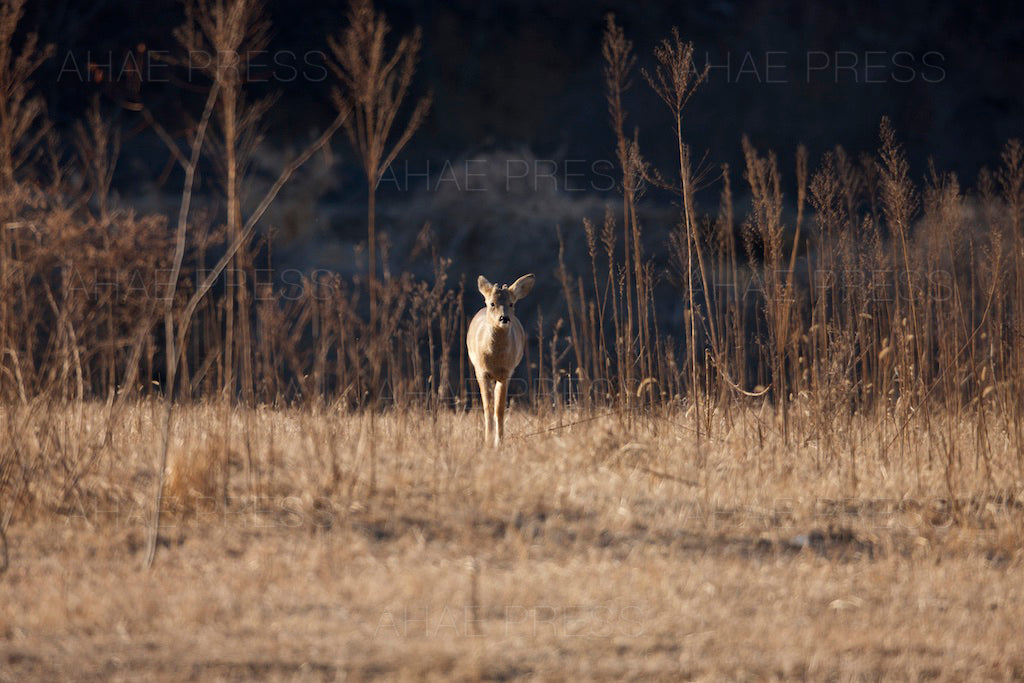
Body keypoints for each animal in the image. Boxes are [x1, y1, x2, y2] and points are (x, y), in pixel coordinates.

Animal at [467, 274, 535, 446]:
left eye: (511, 303)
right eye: (492, 303)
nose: (504, 318)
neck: (495, 358)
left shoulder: (506, 373)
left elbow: (499, 409)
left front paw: (499, 442)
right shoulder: (481, 371)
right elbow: (487, 407)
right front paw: (488, 441)